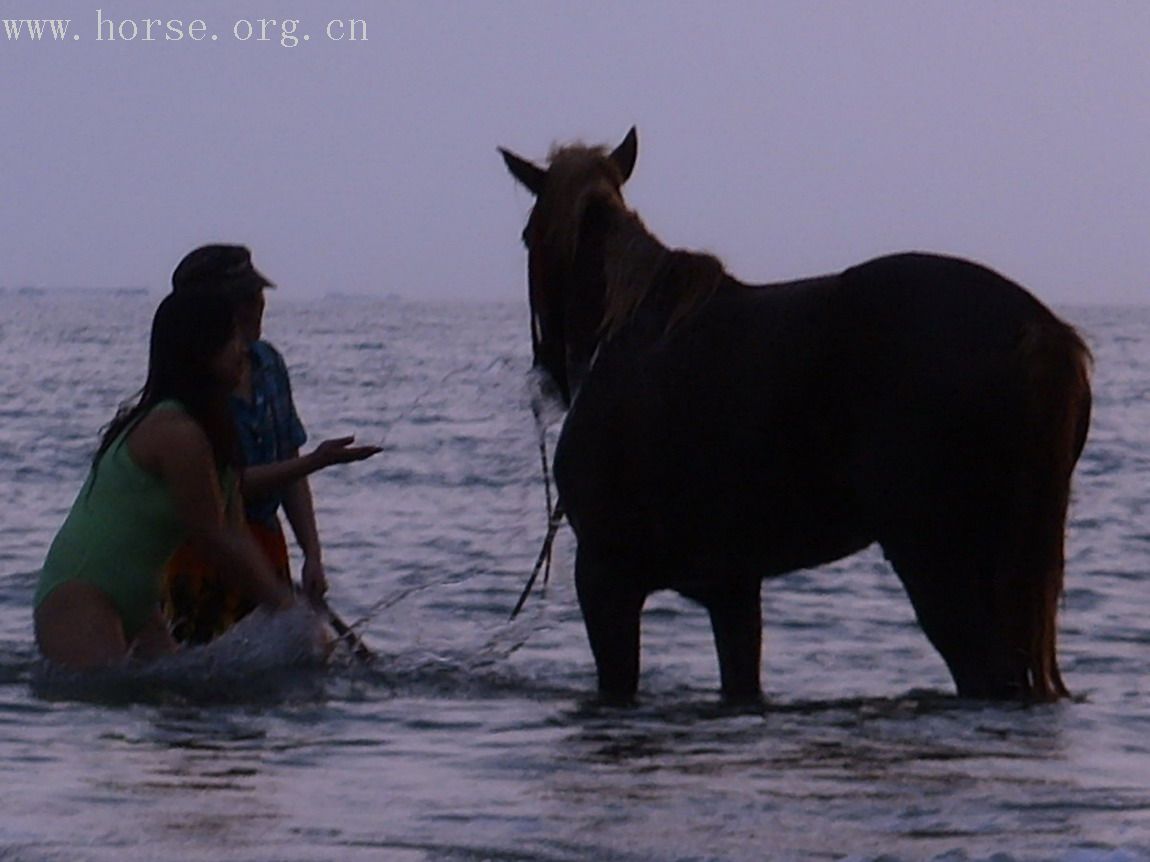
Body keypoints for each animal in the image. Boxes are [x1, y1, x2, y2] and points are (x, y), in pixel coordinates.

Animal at [499, 129, 1090, 707]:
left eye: (528, 236)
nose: (547, 374)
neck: (628, 333)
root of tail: (1038, 331)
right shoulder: (732, 588)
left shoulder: (606, 581)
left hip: (935, 559)